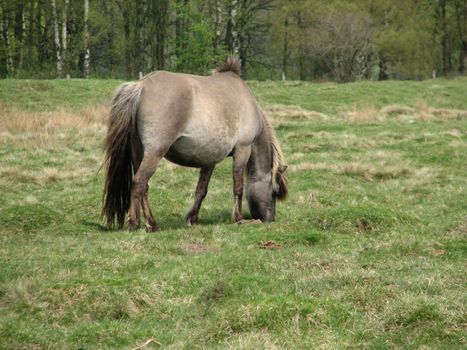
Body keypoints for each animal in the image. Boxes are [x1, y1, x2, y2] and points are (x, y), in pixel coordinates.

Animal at [102, 56, 288, 232]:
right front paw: (238, 218)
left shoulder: (210, 159)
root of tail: (141, 85)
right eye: (274, 192)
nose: (270, 219)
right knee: (139, 182)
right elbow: (238, 186)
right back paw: (137, 223)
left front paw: (192, 218)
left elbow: (201, 190)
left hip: (138, 152)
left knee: (144, 187)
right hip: (154, 152)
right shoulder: (243, 149)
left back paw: (151, 223)